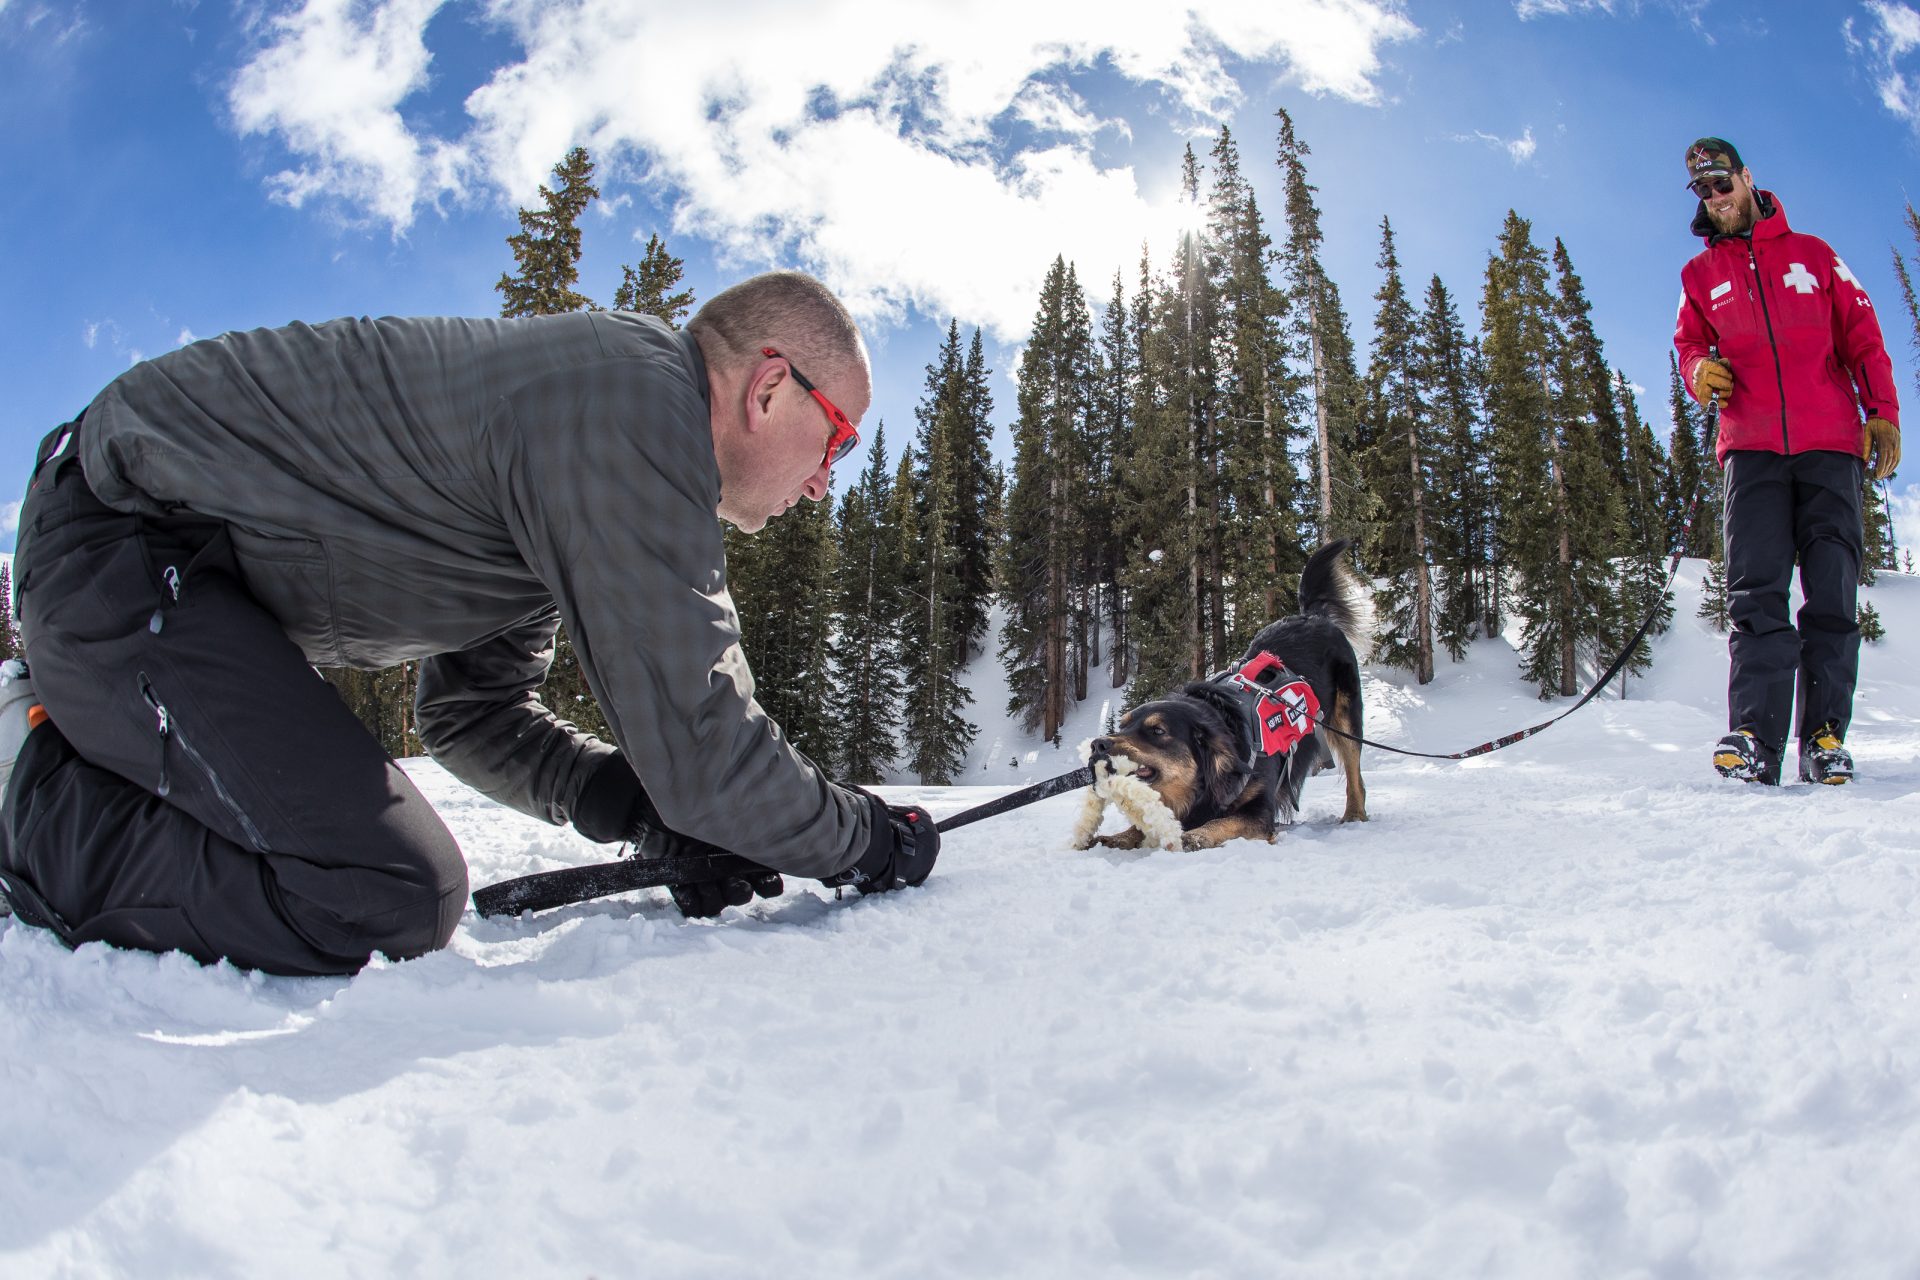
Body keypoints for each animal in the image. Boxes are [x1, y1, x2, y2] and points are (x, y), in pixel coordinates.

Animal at [1098, 541, 1367, 852]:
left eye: (1157, 731)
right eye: (1123, 725)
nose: (1097, 745)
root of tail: (1312, 615)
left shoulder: (1260, 812)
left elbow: (1223, 822)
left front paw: (1197, 835)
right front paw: (1120, 836)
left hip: (1346, 719)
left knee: (1355, 777)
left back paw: (1354, 814)